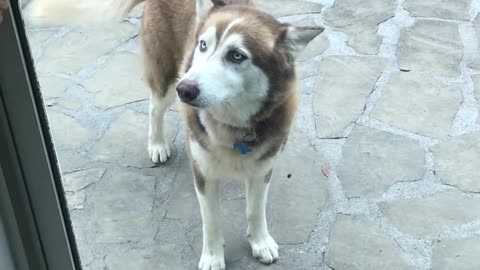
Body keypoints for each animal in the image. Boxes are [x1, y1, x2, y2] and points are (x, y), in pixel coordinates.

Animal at [28, 0, 324, 268]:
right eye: (203, 45)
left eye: (237, 55)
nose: (186, 89)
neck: (233, 126)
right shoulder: (203, 173)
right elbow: (211, 221)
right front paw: (213, 257)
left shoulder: (263, 168)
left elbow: (255, 210)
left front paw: (260, 242)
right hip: (166, 77)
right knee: (154, 106)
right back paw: (157, 144)